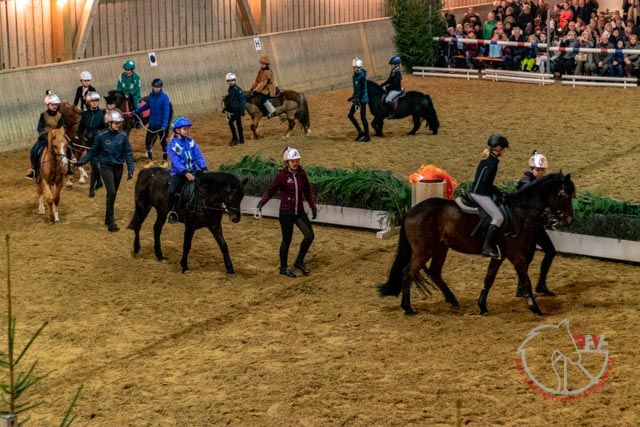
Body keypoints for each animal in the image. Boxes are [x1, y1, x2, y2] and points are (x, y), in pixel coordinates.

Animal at [379, 173, 575, 316]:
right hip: (423, 251)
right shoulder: (517, 256)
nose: (569, 220)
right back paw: (408, 308)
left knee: (434, 272)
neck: (521, 212)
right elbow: (526, 281)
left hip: (441, 248)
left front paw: (482, 306)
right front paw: (535, 308)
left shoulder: (499, 255)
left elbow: (489, 278)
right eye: (564, 195)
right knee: (408, 272)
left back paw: (452, 300)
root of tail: (412, 211)